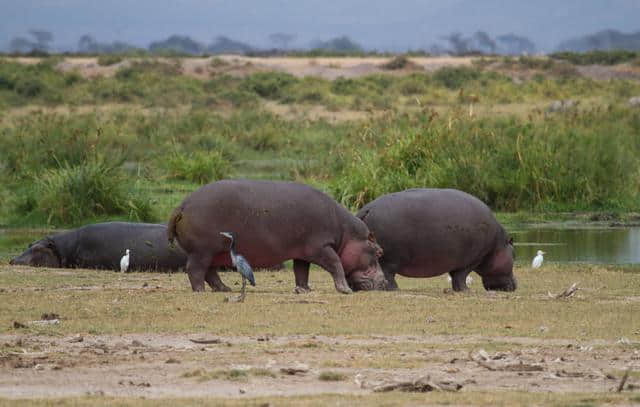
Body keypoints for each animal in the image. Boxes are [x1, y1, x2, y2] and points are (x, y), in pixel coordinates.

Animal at [168, 180, 388, 294]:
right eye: (379, 252)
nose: (385, 283)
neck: (347, 234)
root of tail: (182, 205)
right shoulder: (321, 247)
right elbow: (336, 264)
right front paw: (344, 290)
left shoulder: (303, 251)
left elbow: (301, 271)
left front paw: (304, 290)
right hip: (202, 251)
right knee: (195, 270)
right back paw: (200, 291)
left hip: (213, 252)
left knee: (210, 273)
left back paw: (225, 289)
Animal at [358, 190, 516, 292]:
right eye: (514, 257)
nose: (515, 284)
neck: (498, 244)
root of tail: (367, 208)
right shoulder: (471, 261)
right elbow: (460, 276)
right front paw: (466, 290)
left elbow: (455, 277)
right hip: (390, 260)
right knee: (389, 275)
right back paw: (395, 289)